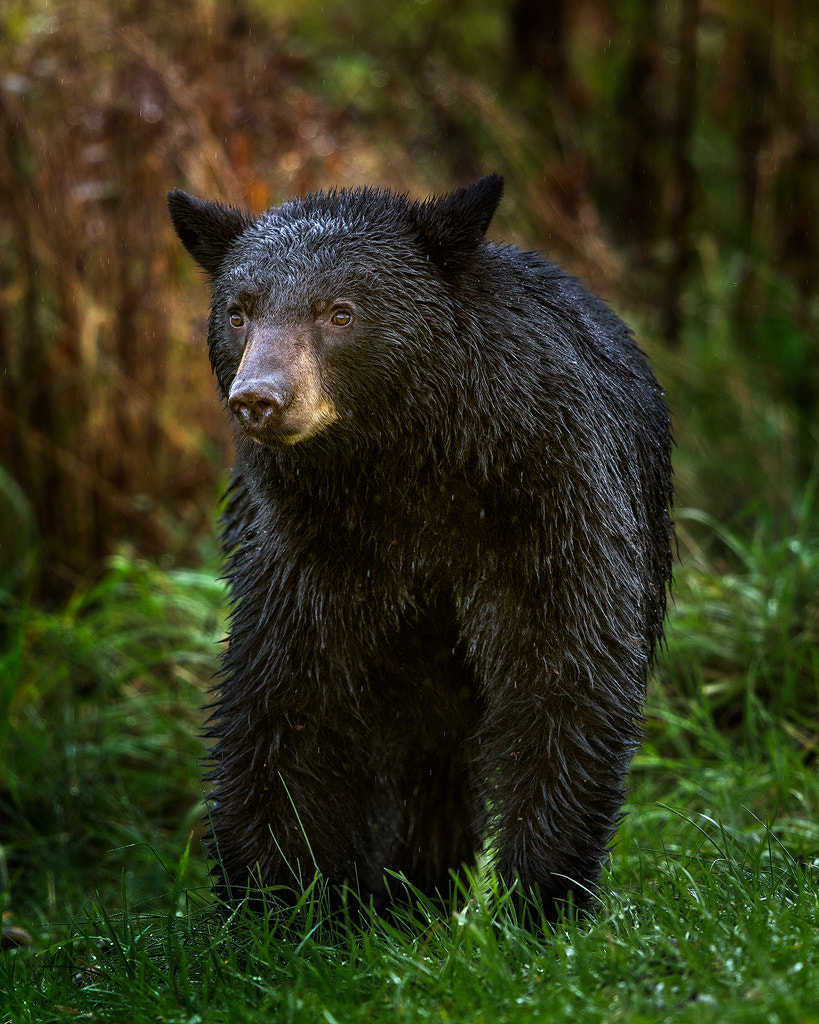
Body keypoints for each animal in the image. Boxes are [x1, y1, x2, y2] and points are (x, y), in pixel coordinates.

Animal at [167, 174, 671, 921]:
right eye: (238, 312)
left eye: (339, 312)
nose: (259, 399)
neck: (407, 463)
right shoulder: (306, 546)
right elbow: (285, 695)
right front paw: (271, 899)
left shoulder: (549, 503)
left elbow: (566, 674)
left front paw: (538, 900)